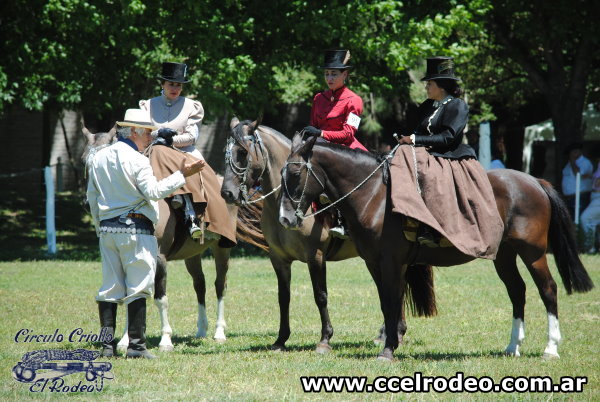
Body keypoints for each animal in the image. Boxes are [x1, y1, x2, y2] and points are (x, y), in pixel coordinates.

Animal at [218, 118, 434, 352]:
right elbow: (283, 297)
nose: (227, 193)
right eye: (225, 152)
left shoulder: (316, 256)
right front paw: (281, 339)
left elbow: (320, 296)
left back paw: (394, 334)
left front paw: (325, 339)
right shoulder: (278, 259)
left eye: (242, 152)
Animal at [278, 133, 592, 362]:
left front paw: (389, 349)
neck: (375, 195)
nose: (285, 219)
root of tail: (534, 181)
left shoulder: (392, 262)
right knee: (518, 291)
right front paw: (390, 342)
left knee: (548, 289)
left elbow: (392, 302)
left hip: (533, 252)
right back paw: (513, 346)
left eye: (295, 173)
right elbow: (386, 302)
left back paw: (550, 348)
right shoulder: (374, 262)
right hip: (503, 255)